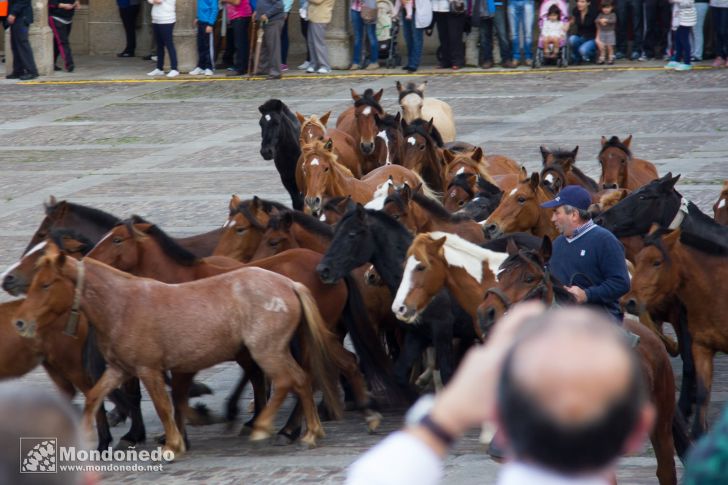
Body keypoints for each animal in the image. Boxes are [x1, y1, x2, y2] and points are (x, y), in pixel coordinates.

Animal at [15, 244, 346, 456]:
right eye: (36, 283)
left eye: (46, 284)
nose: (20, 322)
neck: (122, 305)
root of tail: (289, 284)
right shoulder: (120, 369)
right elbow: (95, 397)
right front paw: (87, 440)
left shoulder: (149, 370)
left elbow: (164, 406)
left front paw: (172, 445)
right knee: (300, 381)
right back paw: (308, 433)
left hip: (268, 351)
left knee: (290, 380)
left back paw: (267, 427)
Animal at [632, 227, 728, 438]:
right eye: (637, 258)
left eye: (656, 262)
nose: (629, 301)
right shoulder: (702, 345)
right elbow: (702, 392)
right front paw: (697, 432)